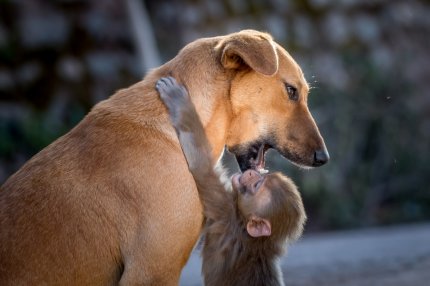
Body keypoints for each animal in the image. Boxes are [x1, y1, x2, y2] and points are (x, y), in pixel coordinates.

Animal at [156, 76, 308, 286]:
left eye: (256, 186)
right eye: (262, 178)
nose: (252, 175)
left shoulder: (226, 215)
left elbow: (202, 166)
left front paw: (179, 101)